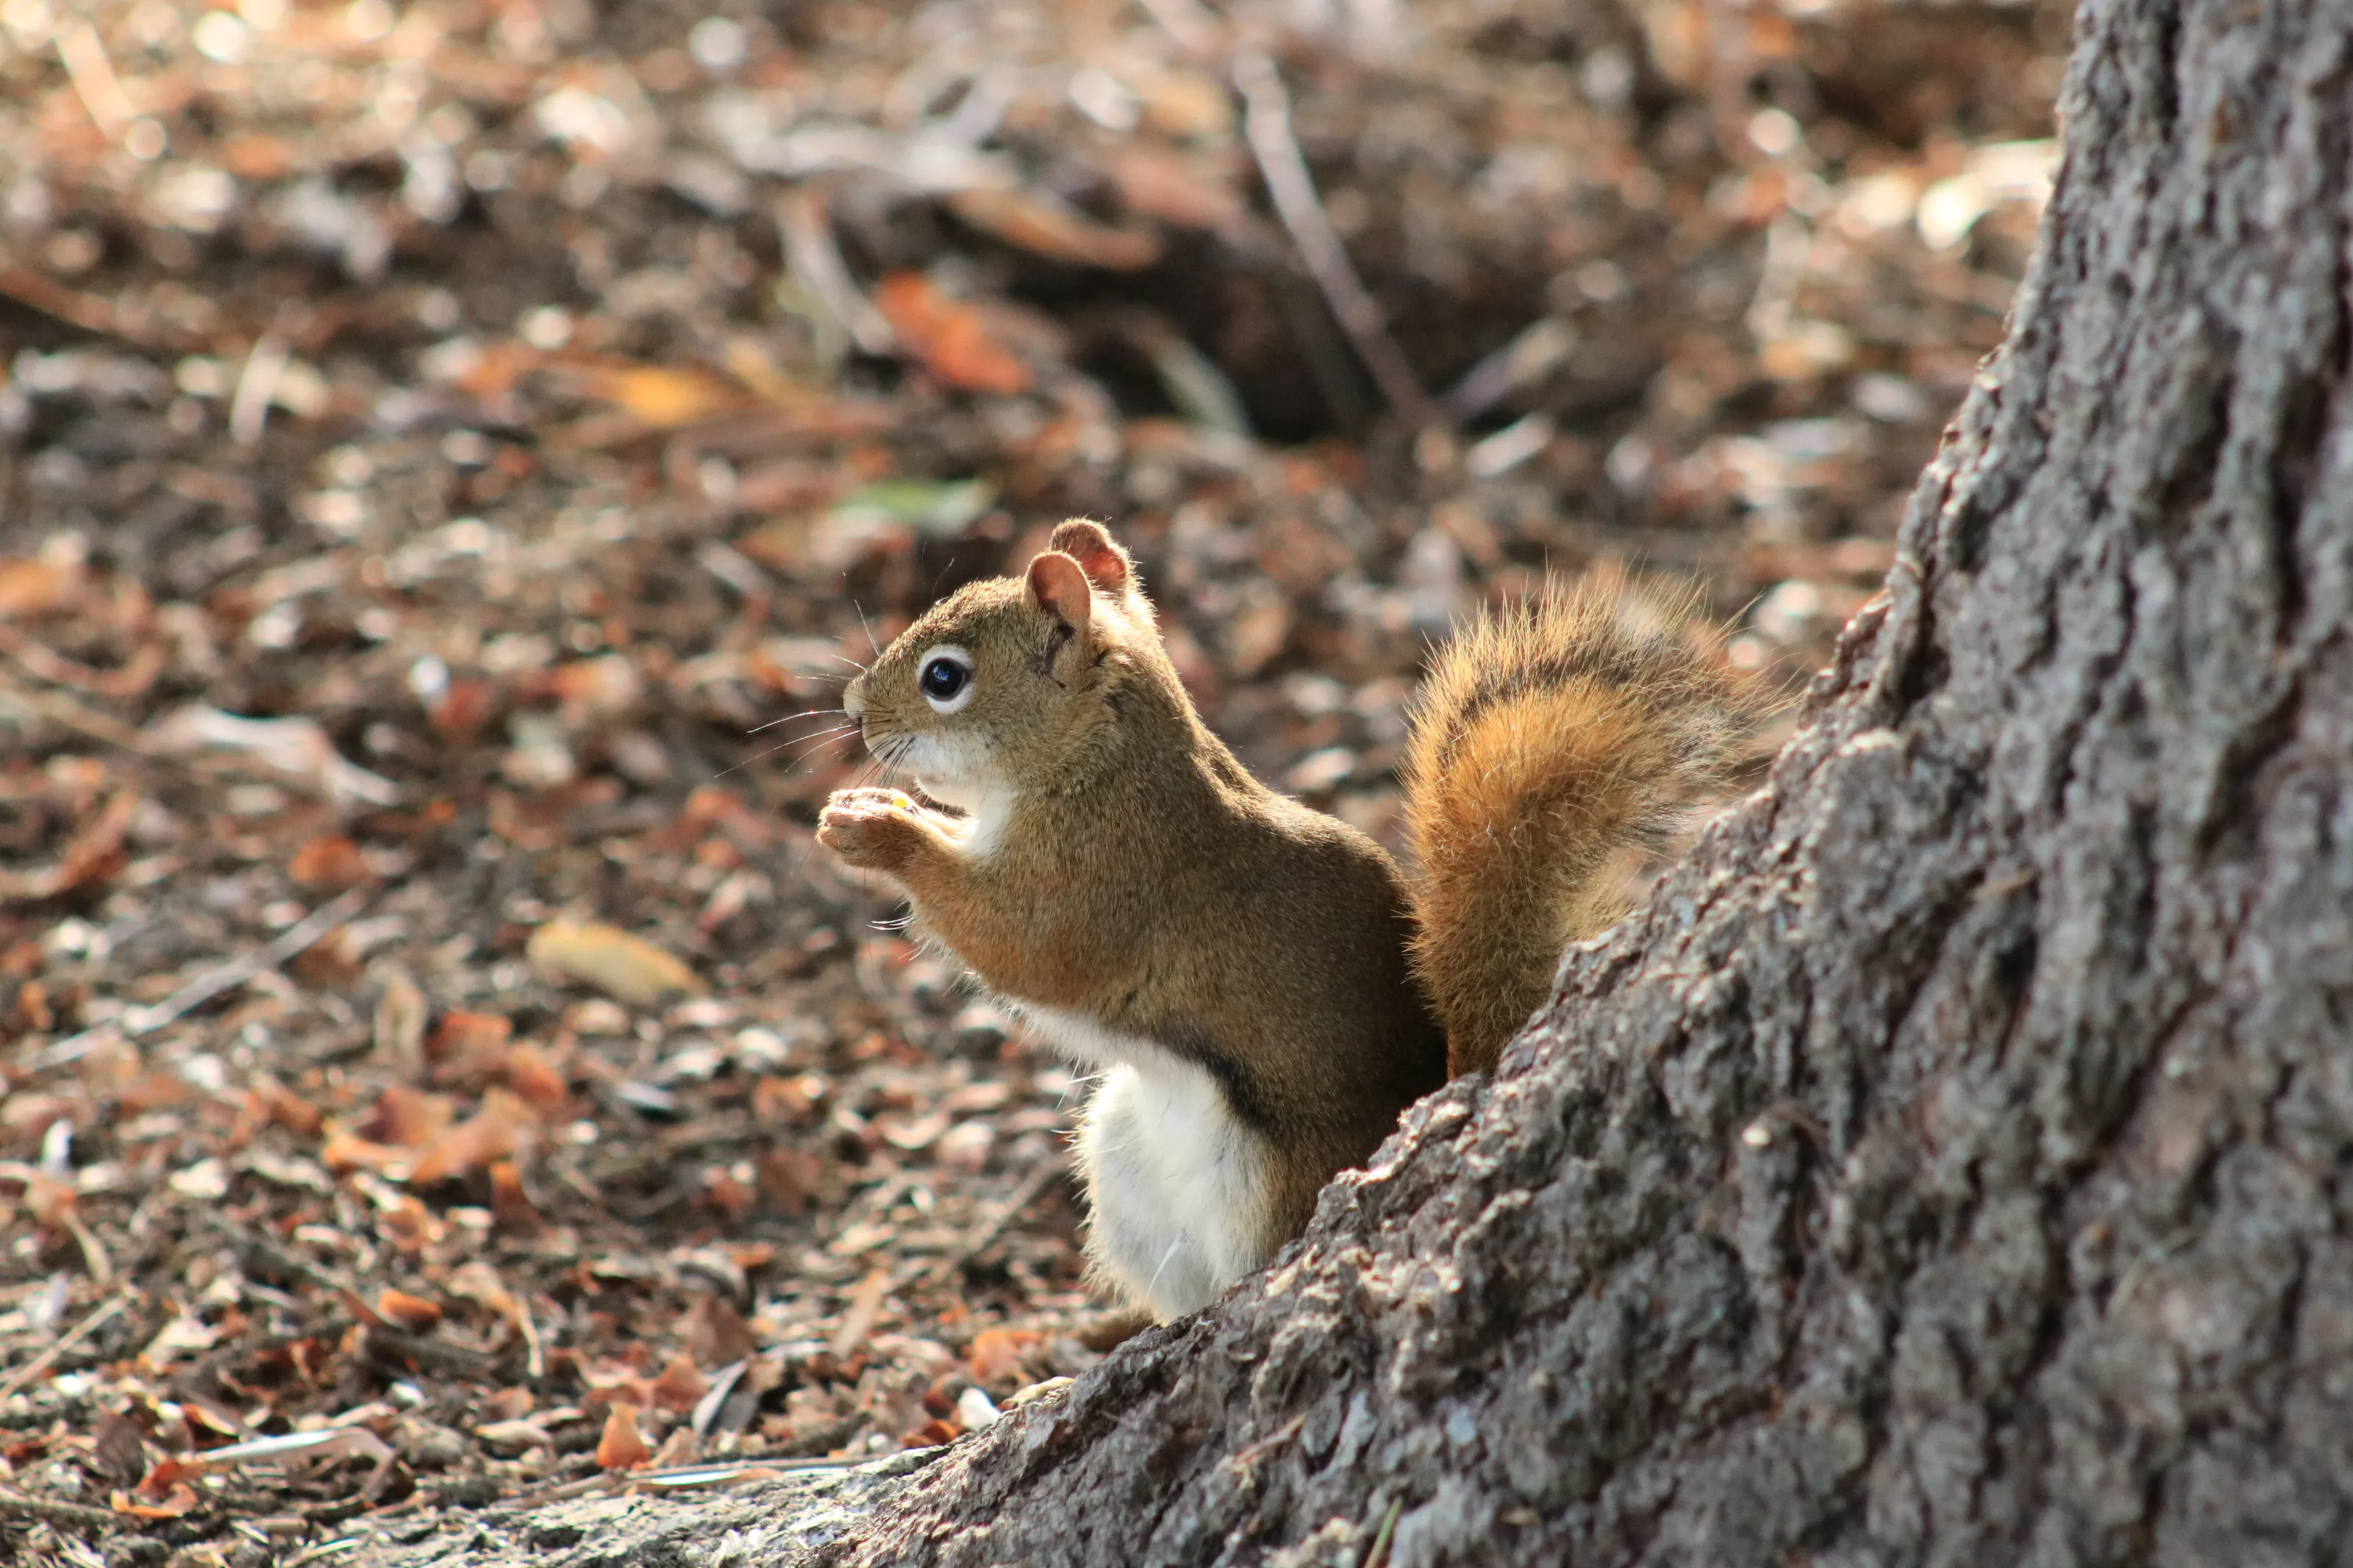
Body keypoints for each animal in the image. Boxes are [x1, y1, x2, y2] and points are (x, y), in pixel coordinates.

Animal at [817, 520, 1760, 1322]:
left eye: (945, 677)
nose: (853, 708)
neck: (1095, 763)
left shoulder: (1101, 880)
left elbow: (1015, 944)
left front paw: (877, 831)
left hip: (1264, 1181)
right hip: (1124, 1164)